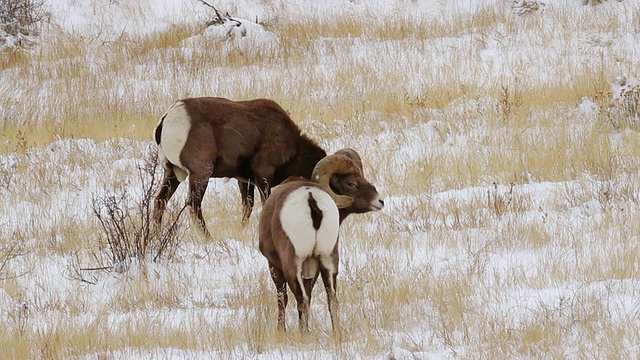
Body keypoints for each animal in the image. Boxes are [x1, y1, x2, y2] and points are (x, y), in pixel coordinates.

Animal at [152, 97, 328, 235]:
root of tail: (167, 119)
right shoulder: (263, 174)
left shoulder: (245, 181)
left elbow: (247, 207)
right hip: (201, 173)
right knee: (194, 204)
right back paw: (208, 238)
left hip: (172, 173)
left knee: (160, 201)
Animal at [258, 147, 382, 332]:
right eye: (351, 183)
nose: (380, 201)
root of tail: (310, 199)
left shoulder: (274, 265)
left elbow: (283, 298)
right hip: (328, 261)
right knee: (332, 300)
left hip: (292, 264)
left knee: (302, 300)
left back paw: (303, 334)